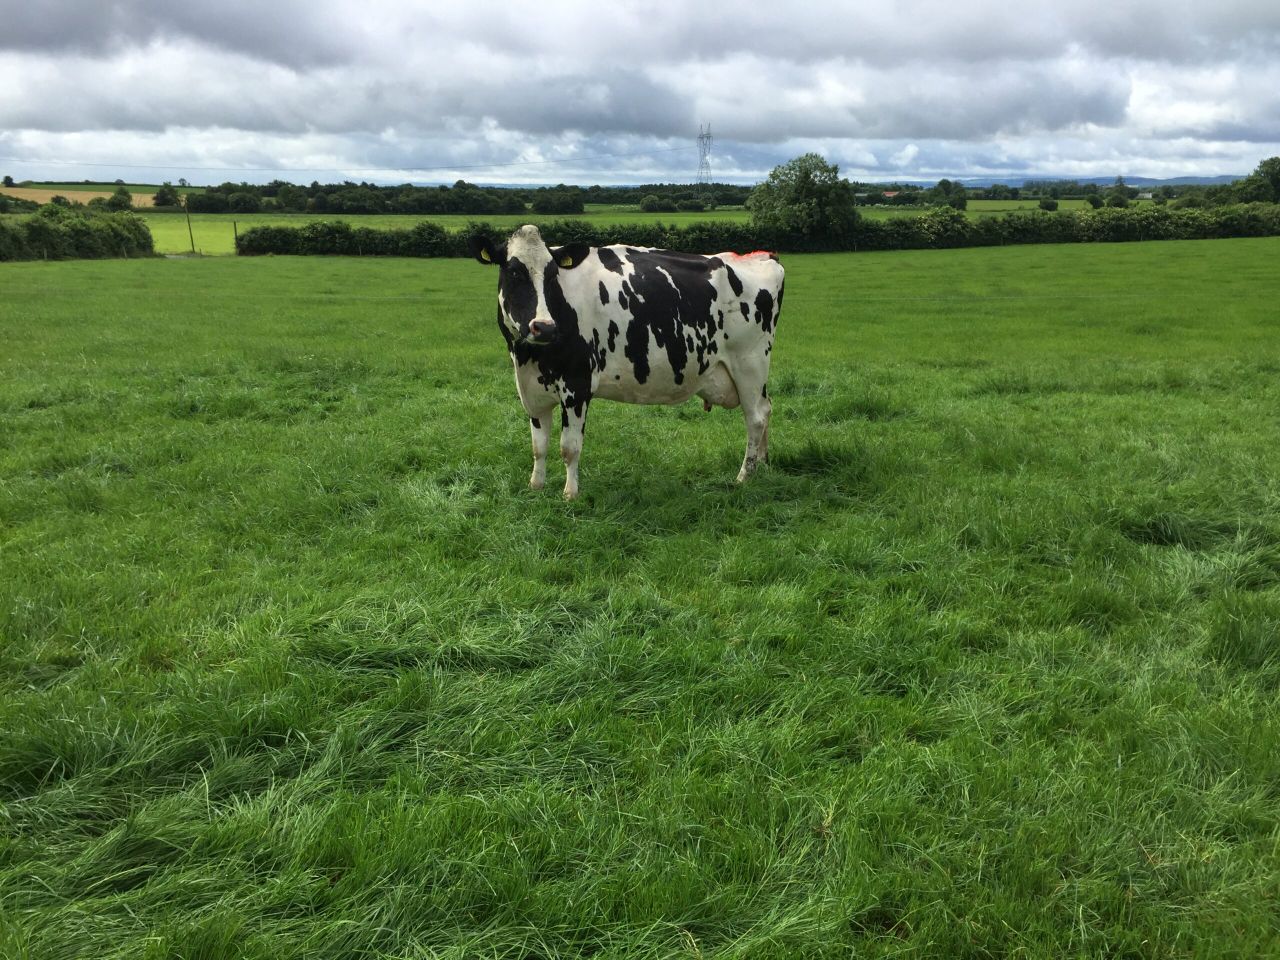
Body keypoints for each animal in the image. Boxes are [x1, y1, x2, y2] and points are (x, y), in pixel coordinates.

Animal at [469, 224, 784, 499]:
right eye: (514, 272)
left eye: (551, 275)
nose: (544, 327)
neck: (530, 357)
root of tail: (762, 256)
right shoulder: (531, 387)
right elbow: (539, 445)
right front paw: (536, 486)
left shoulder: (577, 383)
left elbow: (569, 447)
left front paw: (570, 494)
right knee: (766, 409)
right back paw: (763, 463)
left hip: (749, 364)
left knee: (755, 417)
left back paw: (744, 476)